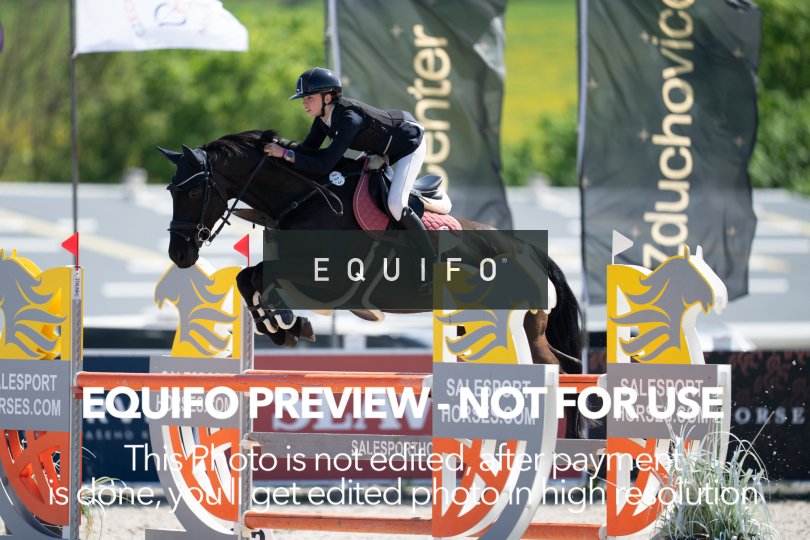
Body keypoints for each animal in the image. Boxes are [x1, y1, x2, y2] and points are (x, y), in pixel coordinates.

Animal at [159, 130, 585, 437]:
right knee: (563, 367)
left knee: (555, 371)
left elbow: (263, 275)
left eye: (193, 190)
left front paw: (288, 323)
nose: (180, 254)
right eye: (172, 190)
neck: (306, 199)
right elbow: (248, 276)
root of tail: (533, 251)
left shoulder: (327, 281)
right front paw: (282, 329)